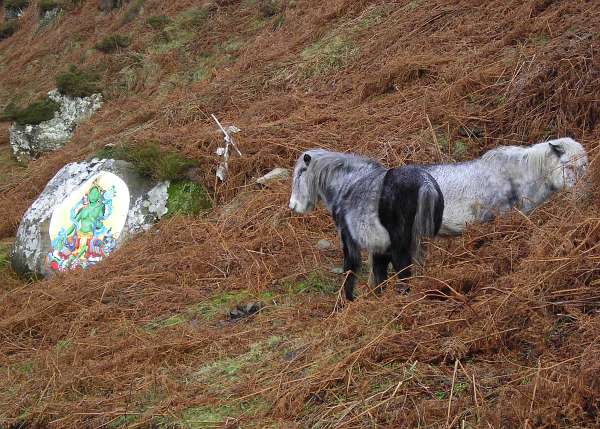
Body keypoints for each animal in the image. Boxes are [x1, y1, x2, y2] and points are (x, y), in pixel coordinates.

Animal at [288, 150, 442, 300]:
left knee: (403, 270)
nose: (292, 205)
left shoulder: (348, 239)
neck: (347, 184)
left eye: (301, 172)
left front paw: (348, 301)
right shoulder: (380, 248)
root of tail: (425, 183)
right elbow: (379, 276)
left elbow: (350, 269)